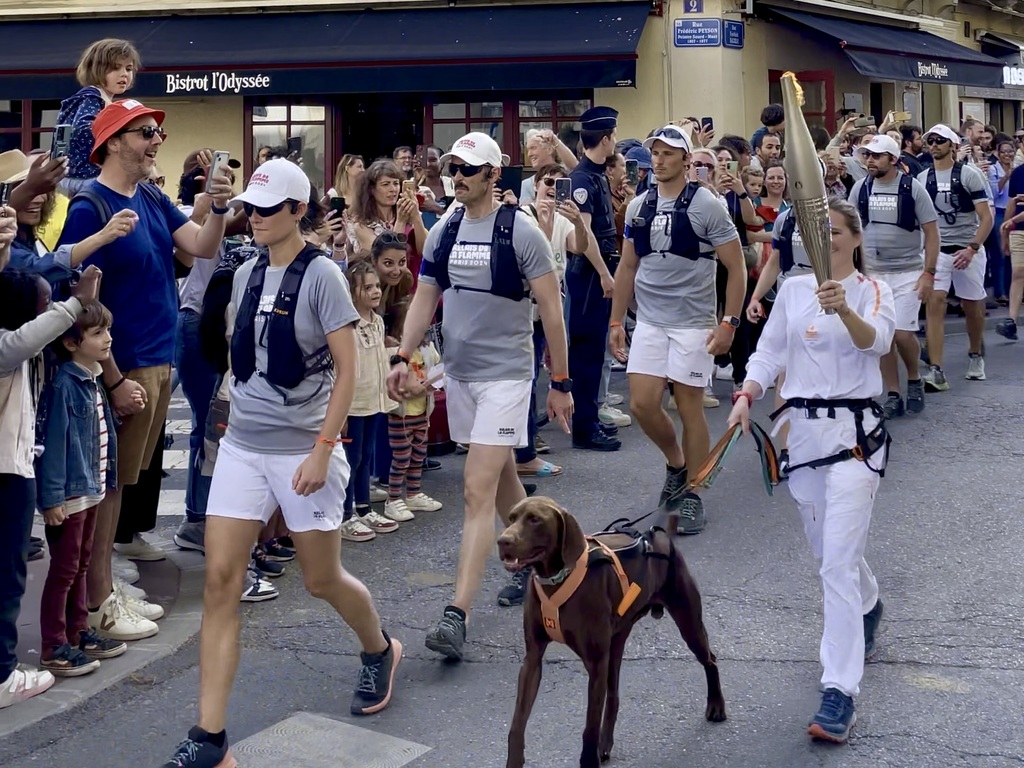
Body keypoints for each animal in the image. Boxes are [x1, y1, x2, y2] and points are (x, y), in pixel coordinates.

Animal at [497, 495, 729, 765]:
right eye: (511, 517)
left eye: (535, 519)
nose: (503, 541)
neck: (556, 578)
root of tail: (658, 537)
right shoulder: (533, 659)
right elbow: (517, 723)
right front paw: (514, 760)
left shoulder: (596, 662)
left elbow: (589, 727)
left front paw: (588, 760)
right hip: (617, 643)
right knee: (614, 696)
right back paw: (605, 744)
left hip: (687, 621)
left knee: (710, 659)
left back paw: (716, 705)